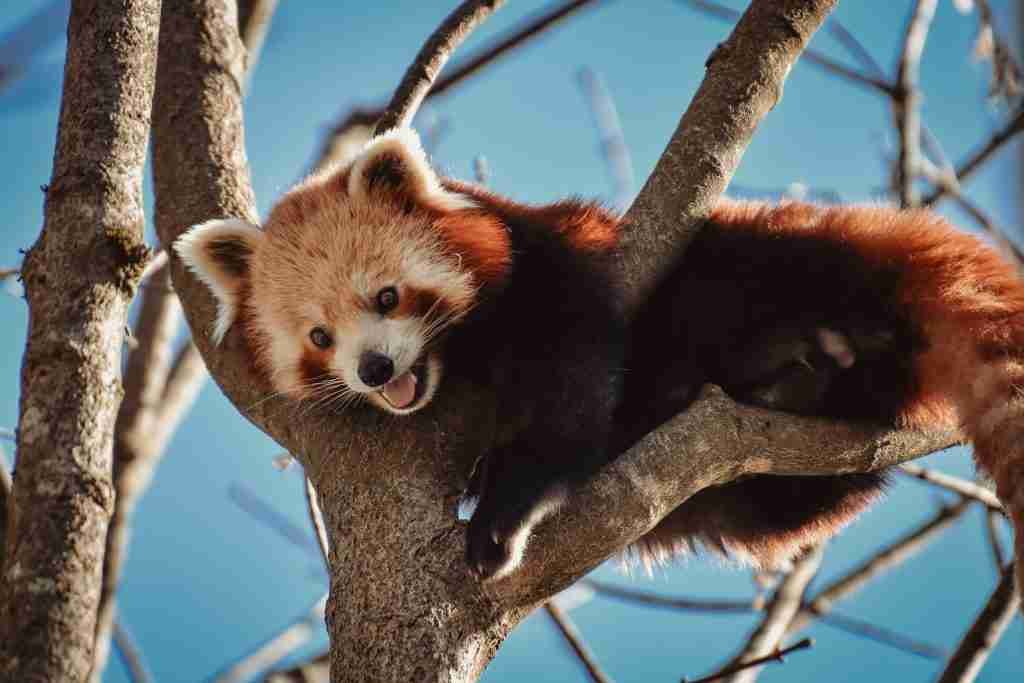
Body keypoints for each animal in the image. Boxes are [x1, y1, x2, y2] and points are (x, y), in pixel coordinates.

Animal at [176, 125, 1024, 585]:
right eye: (319, 337)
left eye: (386, 297)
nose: (375, 369)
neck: (464, 359)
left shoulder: (562, 269)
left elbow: (568, 404)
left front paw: (500, 519)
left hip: (752, 261)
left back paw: (803, 355)